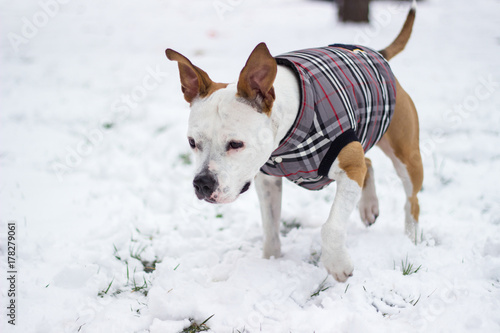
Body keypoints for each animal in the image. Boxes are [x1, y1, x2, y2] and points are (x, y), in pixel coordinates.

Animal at [167, 3, 422, 282]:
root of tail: (376, 53)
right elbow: (270, 228)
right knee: (368, 161)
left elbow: (331, 225)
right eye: (192, 142)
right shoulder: (266, 179)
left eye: (236, 144)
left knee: (411, 200)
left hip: (406, 154)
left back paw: (410, 241)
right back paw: (369, 207)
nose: (202, 183)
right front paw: (270, 262)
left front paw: (337, 264)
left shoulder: (349, 167)